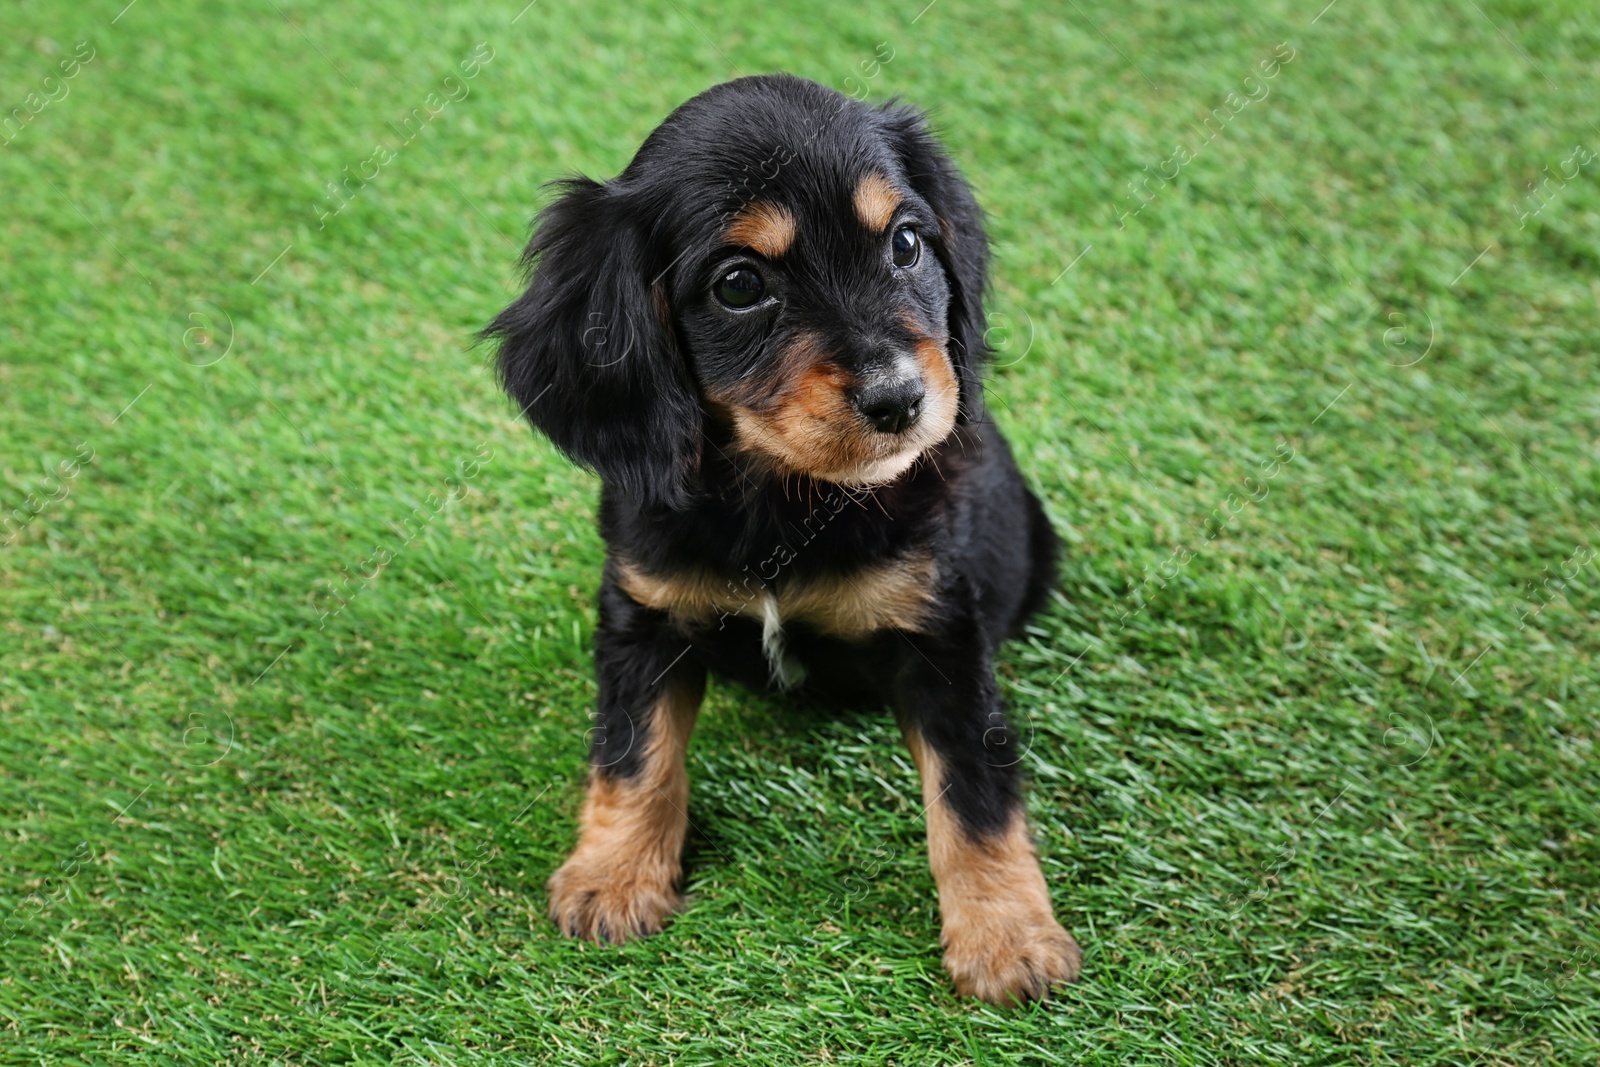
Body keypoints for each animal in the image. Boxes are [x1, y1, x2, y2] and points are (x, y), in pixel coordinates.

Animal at [483, 73, 1088, 1004]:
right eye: (740, 285)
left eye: (906, 243)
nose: (899, 399)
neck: (784, 502)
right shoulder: (642, 612)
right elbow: (633, 752)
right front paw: (611, 877)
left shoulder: (942, 635)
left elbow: (975, 794)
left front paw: (1008, 937)